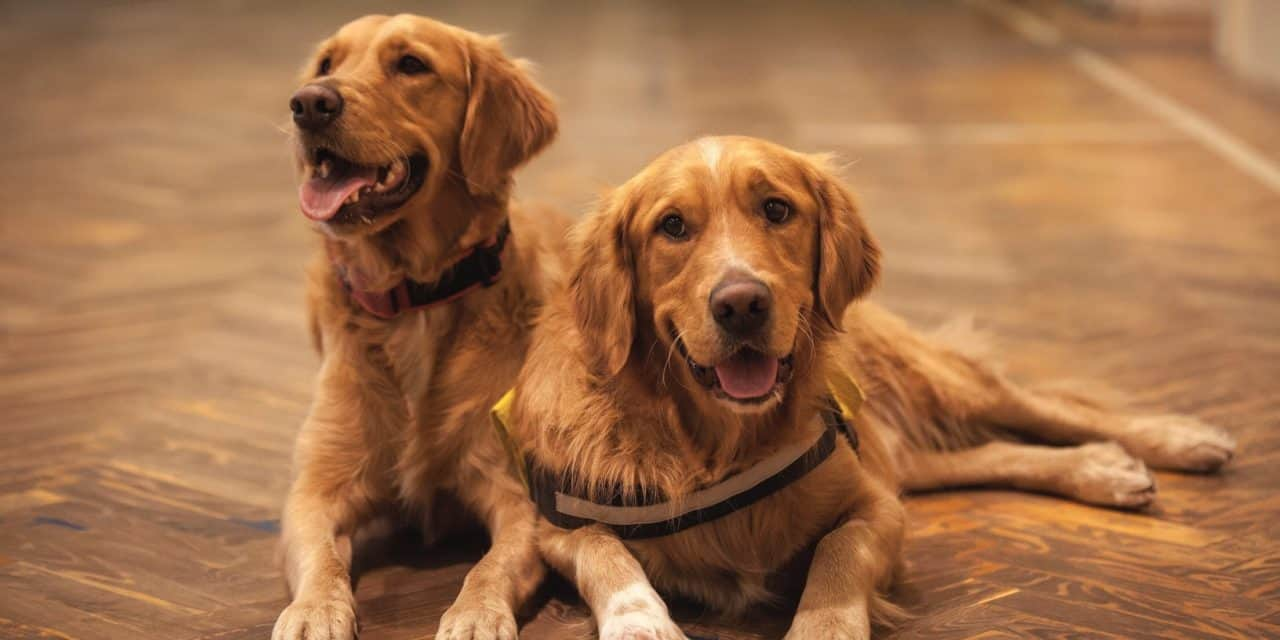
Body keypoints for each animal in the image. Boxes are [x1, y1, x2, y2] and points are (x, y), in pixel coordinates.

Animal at [273, 13, 565, 640]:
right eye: (327, 63)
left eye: (411, 65)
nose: (308, 104)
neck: (413, 299)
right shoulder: (315, 491)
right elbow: (321, 557)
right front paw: (313, 610)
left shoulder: (517, 496)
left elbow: (490, 565)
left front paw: (476, 614)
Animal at [494, 136, 1233, 640]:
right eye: (672, 226)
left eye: (776, 209)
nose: (741, 304)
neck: (714, 444)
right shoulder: (558, 524)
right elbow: (607, 555)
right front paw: (640, 622)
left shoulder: (875, 505)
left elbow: (836, 553)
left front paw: (824, 624)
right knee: (990, 452)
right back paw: (1104, 468)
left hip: (932, 379)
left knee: (1044, 407)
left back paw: (1168, 441)